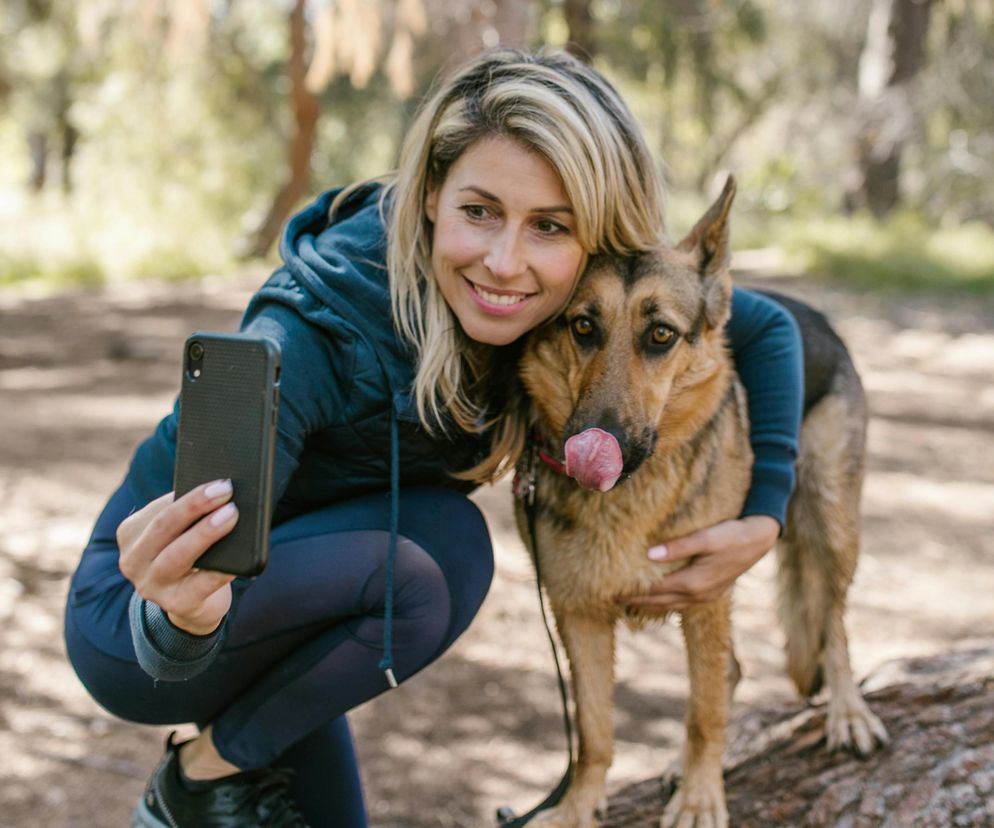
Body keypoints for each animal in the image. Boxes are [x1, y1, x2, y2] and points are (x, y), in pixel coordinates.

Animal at [512, 178, 884, 824]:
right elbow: (594, 730)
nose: (597, 442)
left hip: (831, 522)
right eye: (583, 327)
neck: (627, 499)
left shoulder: (708, 597)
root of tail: (813, 315)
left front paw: (700, 797)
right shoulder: (577, 613)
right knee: (736, 667)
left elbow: (705, 713)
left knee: (831, 625)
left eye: (661, 334)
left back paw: (847, 711)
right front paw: (580, 804)